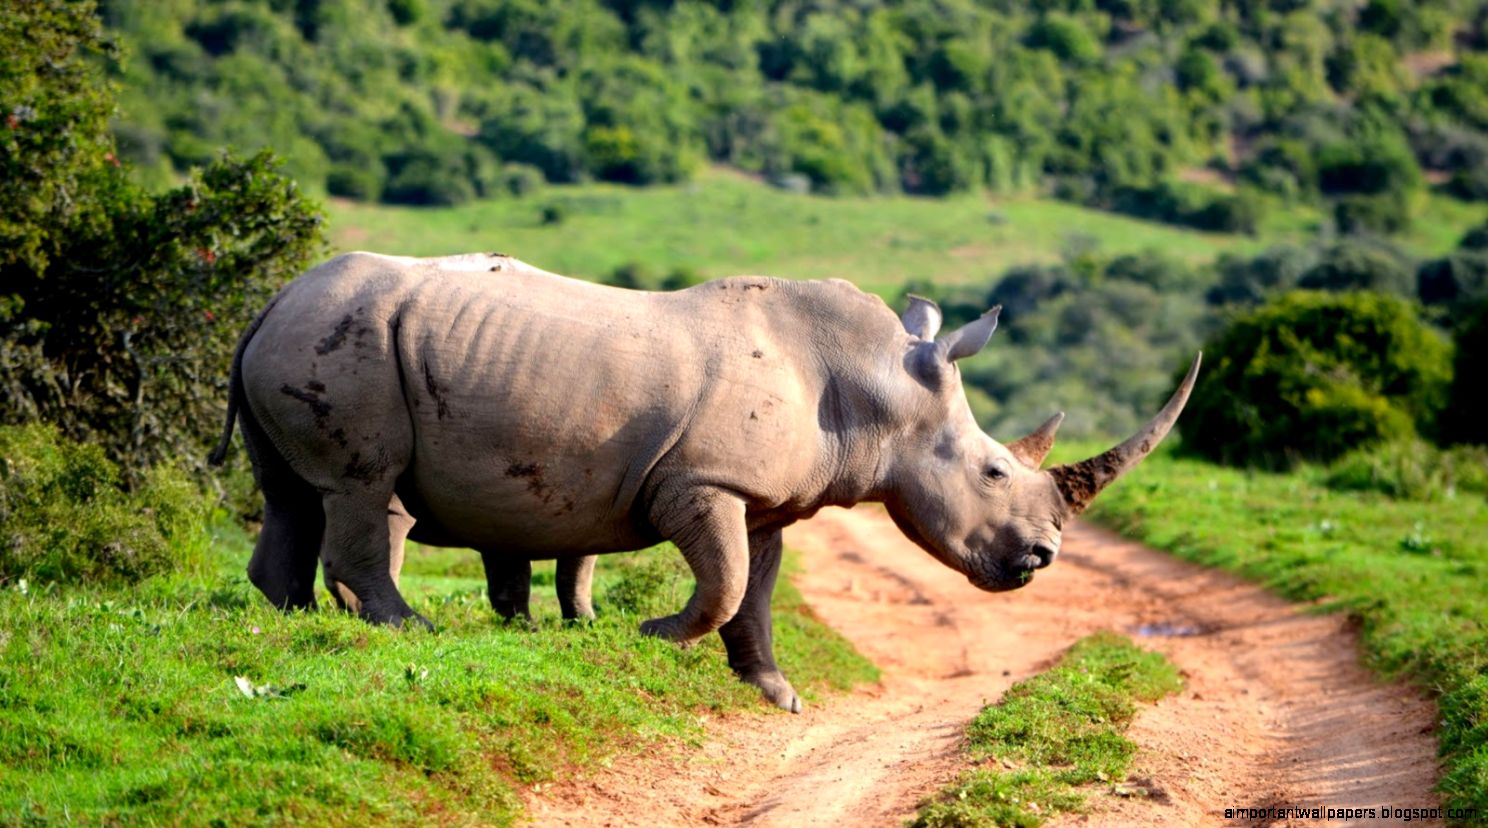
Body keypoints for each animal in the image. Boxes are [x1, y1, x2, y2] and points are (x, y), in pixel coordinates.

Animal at [211, 252, 1199, 712]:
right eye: (995, 470)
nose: (1041, 558)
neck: (878, 386)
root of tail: (271, 299)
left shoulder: (763, 502)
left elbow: (755, 591)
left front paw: (775, 693)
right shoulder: (702, 482)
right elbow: (722, 585)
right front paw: (651, 635)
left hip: (309, 336)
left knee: (292, 494)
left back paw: (293, 620)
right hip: (347, 342)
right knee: (361, 489)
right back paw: (403, 628)